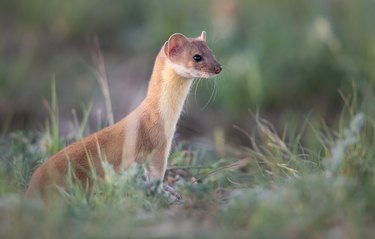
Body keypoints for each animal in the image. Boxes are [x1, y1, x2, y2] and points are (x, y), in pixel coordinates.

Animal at [27, 31, 223, 199]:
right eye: (197, 56)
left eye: (212, 52)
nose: (218, 67)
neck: (168, 118)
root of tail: (33, 183)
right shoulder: (158, 143)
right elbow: (156, 174)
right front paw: (165, 193)